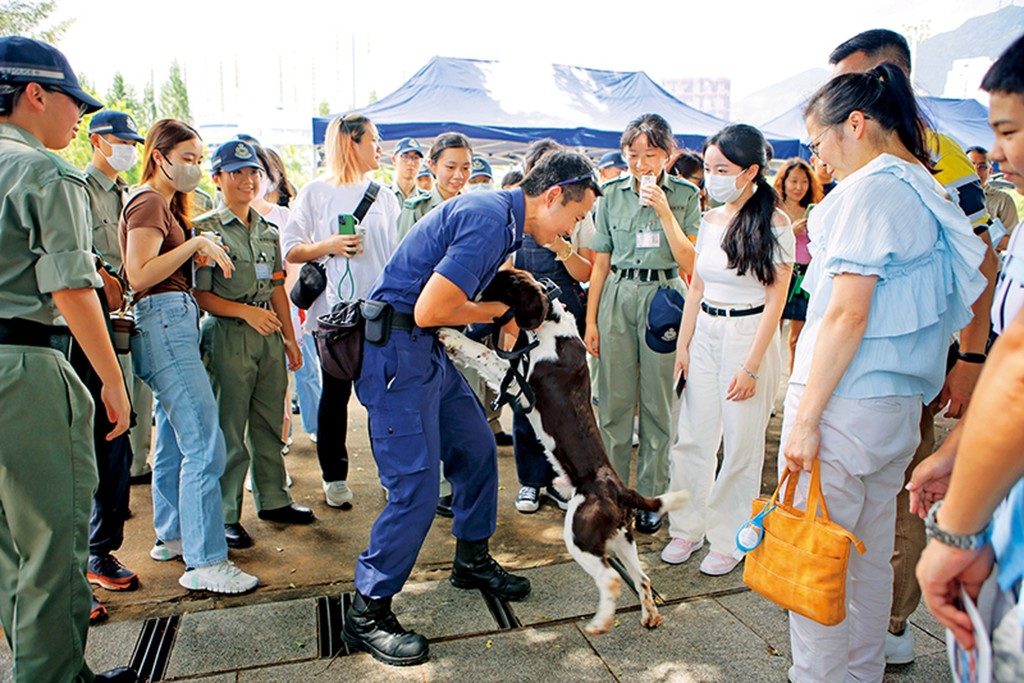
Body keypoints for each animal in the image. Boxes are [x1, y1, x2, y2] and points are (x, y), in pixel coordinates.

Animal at [434, 268, 688, 634]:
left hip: (581, 532)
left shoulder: (517, 384)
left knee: (611, 579)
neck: (549, 329)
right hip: (621, 539)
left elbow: (486, 355)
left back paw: (599, 623)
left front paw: (451, 336)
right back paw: (649, 616)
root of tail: (619, 490)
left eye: (495, 281)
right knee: (642, 578)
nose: (463, 298)